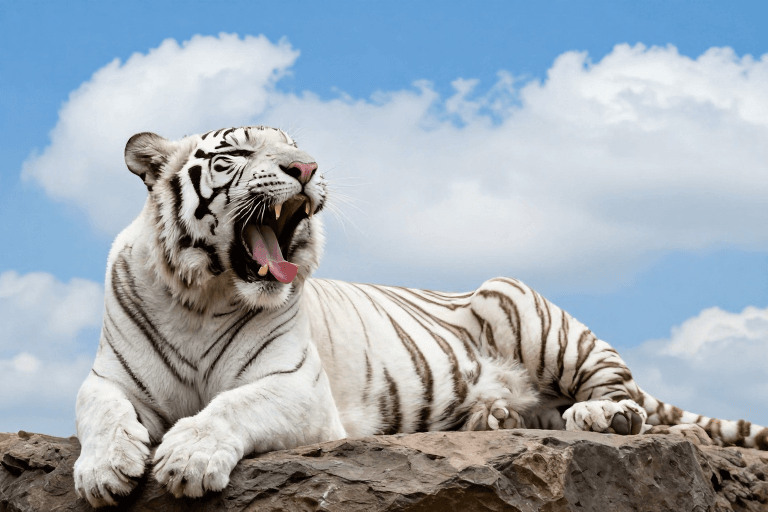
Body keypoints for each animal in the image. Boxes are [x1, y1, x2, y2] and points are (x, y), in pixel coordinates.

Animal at [73, 125, 768, 508]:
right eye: (236, 154)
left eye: (297, 149)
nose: (307, 168)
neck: (204, 295)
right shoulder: (111, 379)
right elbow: (97, 410)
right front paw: (103, 470)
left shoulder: (297, 387)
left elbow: (231, 406)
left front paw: (187, 460)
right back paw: (493, 415)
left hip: (520, 304)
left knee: (621, 396)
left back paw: (600, 415)